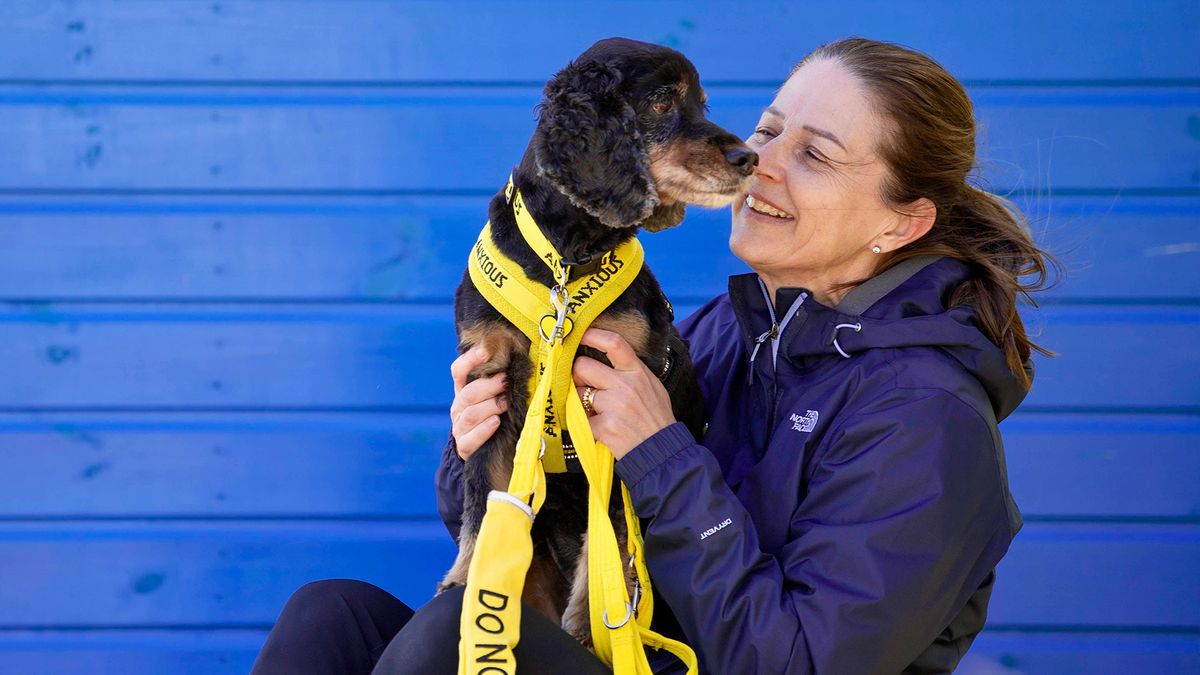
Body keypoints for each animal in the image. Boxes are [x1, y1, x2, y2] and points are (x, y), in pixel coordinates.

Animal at [441, 36, 758, 648]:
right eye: (662, 102)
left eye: (701, 103)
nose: (749, 158)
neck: (568, 256)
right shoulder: (488, 376)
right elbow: (482, 493)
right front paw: (468, 585)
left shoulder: (615, 388)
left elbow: (610, 523)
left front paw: (599, 622)